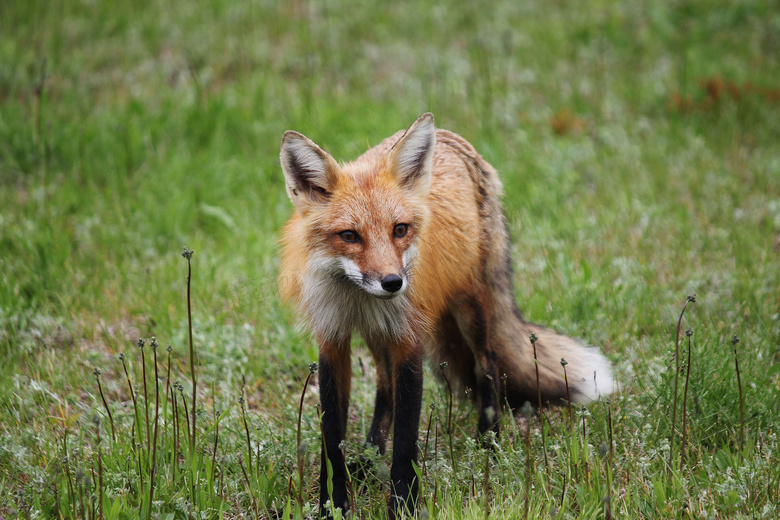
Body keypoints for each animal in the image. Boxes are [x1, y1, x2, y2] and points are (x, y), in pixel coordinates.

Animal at [280, 112, 616, 516]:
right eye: (349, 236)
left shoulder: (409, 340)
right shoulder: (333, 340)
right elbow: (332, 439)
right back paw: (370, 456)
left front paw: (403, 506)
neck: (358, 299)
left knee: (489, 366)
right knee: (384, 388)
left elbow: (406, 438)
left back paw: (489, 443)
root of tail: (451, 138)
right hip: (381, 334)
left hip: (470, 309)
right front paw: (334, 505)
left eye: (400, 230)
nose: (393, 283)